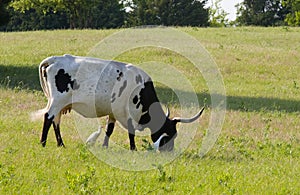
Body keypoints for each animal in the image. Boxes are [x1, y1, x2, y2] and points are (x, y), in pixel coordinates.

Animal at [35, 54, 204, 151]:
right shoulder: (129, 113)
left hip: (60, 104)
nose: (169, 151)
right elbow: (131, 132)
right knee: (48, 117)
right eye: (170, 134)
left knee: (56, 121)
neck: (142, 89)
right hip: (57, 101)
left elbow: (109, 130)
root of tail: (55, 59)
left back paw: (60, 144)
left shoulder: (113, 113)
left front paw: (105, 146)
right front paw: (133, 148)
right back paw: (43, 143)